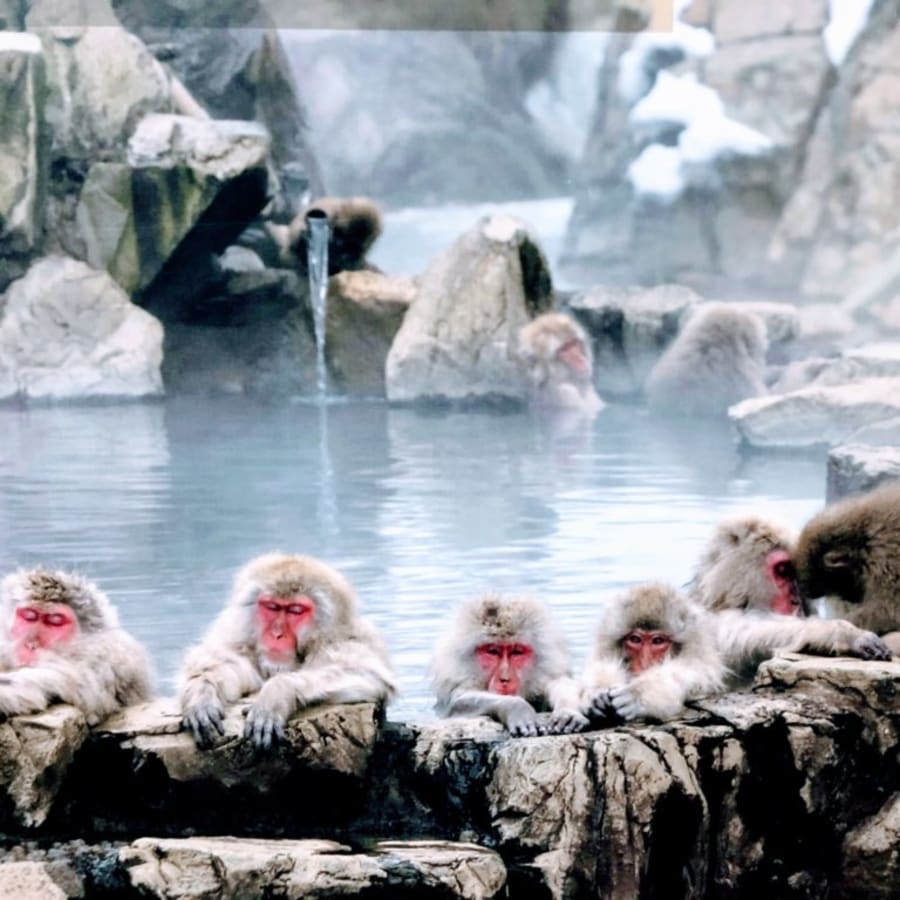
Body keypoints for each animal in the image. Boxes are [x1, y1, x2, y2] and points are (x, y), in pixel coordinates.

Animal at [179, 552, 396, 749]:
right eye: (272, 607)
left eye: (295, 610)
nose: (277, 634)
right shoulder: (238, 637)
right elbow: (226, 664)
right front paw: (202, 694)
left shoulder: (349, 641)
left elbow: (366, 673)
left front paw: (277, 693)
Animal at [431, 593, 589, 737]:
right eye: (493, 651)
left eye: (516, 652)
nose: (505, 679)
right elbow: (457, 702)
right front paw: (517, 707)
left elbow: (559, 683)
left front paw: (567, 711)